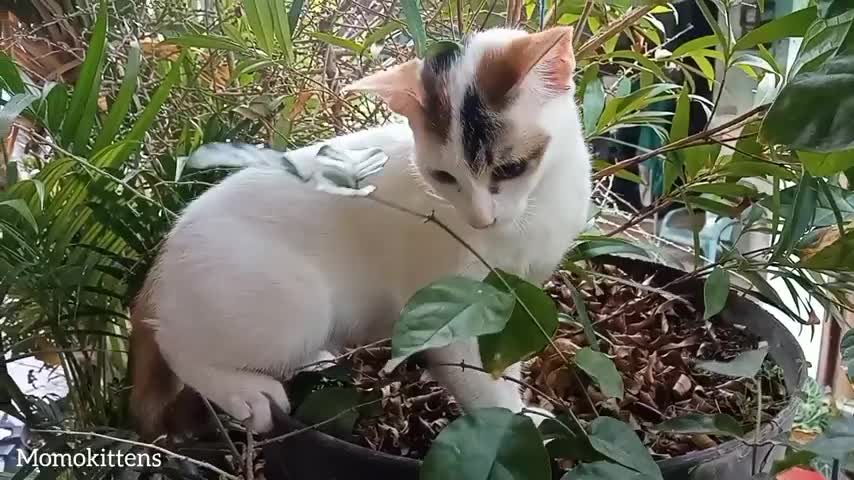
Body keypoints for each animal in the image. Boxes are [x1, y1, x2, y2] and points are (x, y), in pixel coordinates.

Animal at [129, 25, 596, 436]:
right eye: (444, 177)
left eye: (511, 168)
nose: (481, 219)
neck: (534, 211)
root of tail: (160, 267)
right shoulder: (458, 304)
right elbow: (484, 385)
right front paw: (517, 422)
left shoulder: (513, 297)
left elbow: (504, 358)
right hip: (297, 303)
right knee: (177, 346)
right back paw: (245, 392)